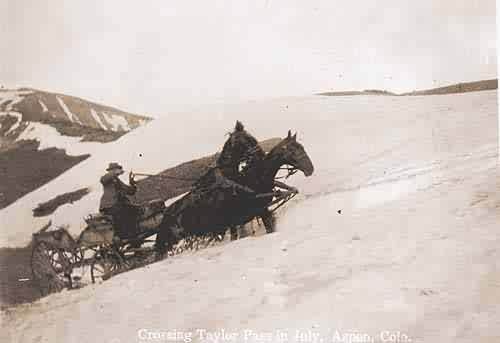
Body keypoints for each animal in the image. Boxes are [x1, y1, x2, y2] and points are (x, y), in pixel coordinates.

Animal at [154, 130, 314, 254]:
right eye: (292, 150)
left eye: (301, 147)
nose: (310, 169)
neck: (250, 181)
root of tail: (165, 216)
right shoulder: (240, 219)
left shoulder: (261, 211)